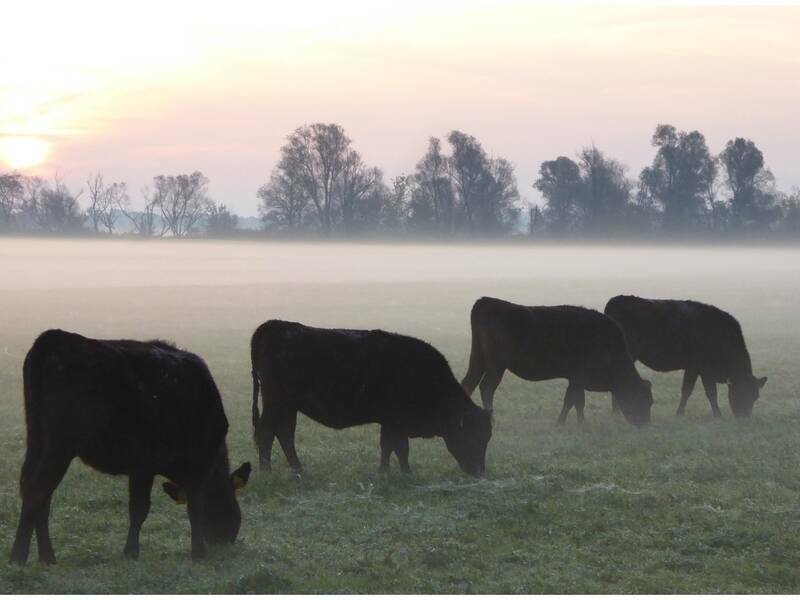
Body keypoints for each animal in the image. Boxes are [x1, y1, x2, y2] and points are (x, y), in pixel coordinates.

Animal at [9, 329, 251, 565]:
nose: (226, 539)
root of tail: (54, 338)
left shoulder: (140, 467)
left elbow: (138, 509)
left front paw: (131, 551)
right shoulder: (181, 466)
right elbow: (174, 507)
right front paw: (196, 553)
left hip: (37, 440)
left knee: (36, 491)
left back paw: (46, 557)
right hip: (60, 444)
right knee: (38, 490)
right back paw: (18, 557)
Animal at [250, 320, 492, 476]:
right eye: (474, 437)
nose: (479, 472)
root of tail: (275, 325)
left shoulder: (390, 422)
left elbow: (389, 447)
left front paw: (388, 471)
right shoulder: (395, 421)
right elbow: (399, 447)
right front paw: (403, 473)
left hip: (288, 408)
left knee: (284, 434)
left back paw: (297, 470)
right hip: (276, 404)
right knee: (267, 432)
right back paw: (267, 472)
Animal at [460, 297, 653, 426]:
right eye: (641, 399)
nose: (644, 424)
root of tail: (486, 301)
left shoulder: (575, 379)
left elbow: (575, 400)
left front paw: (575, 422)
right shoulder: (577, 378)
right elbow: (573, 400)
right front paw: (570, 423)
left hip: (478, 360)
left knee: (468, 383)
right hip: (496, 366)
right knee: (486, 387)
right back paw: (491, 420)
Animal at [604, 295, 767, 418]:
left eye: (755, 396)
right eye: (741, 392)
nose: (745, 417)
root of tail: (615, 300)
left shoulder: (693, 368)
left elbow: (687, 391)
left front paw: (680, 413)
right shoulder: (704, 369)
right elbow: (710, 392)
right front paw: (717, 415)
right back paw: (617, 412)